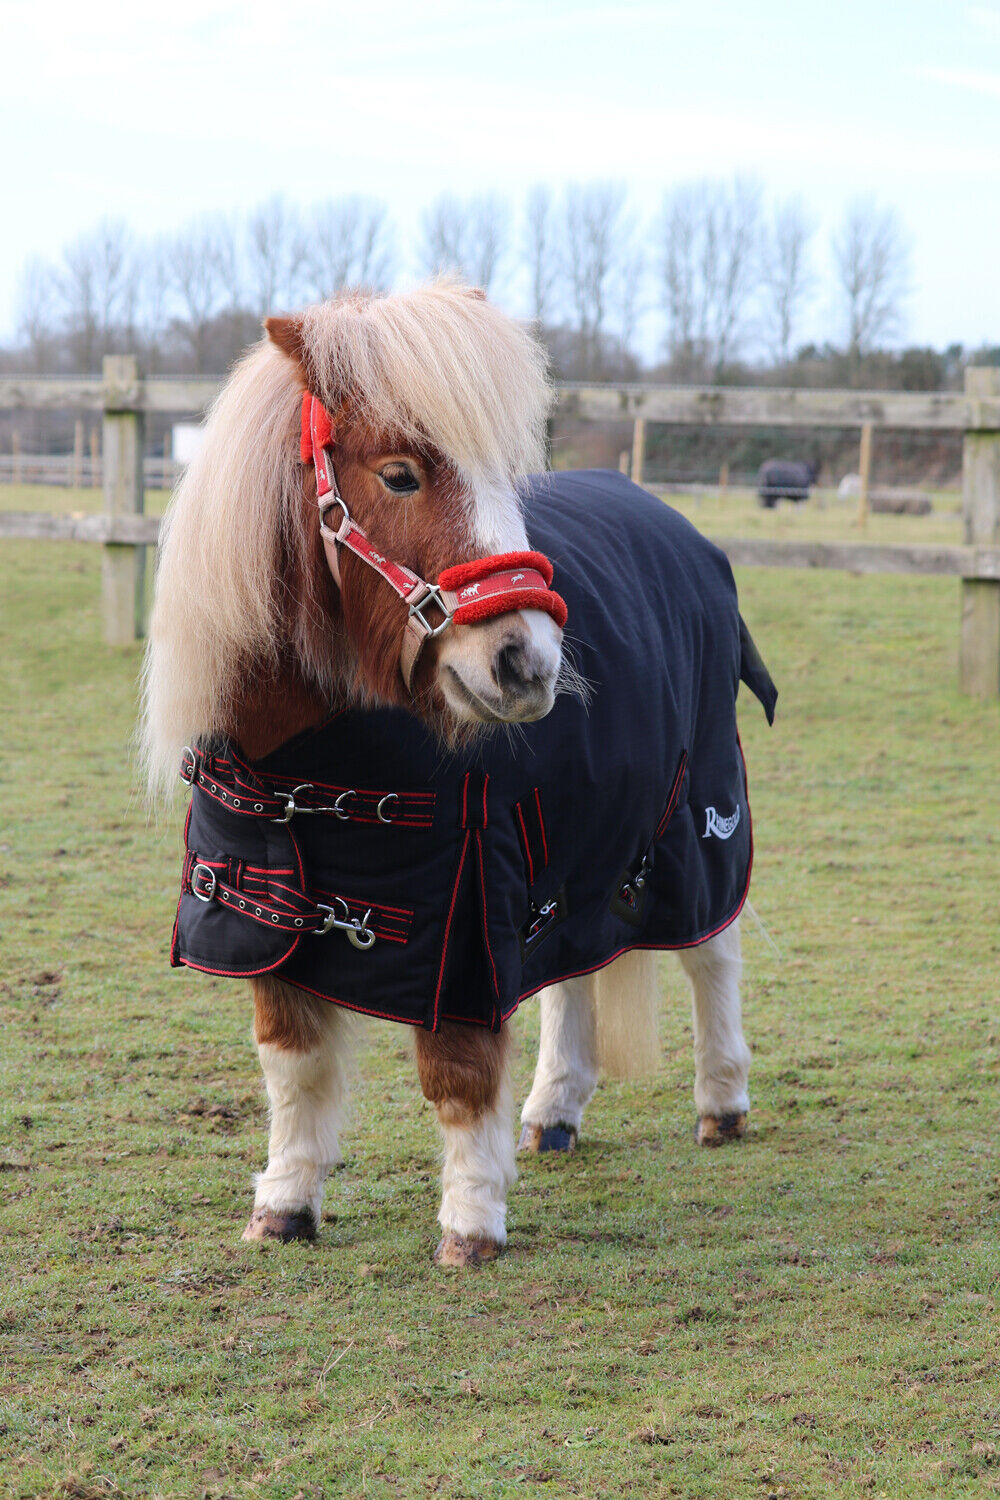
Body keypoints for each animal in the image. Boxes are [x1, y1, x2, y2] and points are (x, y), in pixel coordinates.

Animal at [142, 281, 773, 1268]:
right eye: (400, 473)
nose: (528, 662)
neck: (308, 771)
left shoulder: (463, 917)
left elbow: (458, 1073)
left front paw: (471, 1222)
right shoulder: (264, 919)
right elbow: (293, 1065)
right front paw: (284, 1203)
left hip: (694, 814)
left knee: (713, 949)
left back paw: (721, 1100)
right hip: (576, 843)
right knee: (574, 965)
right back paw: (555, 1110)